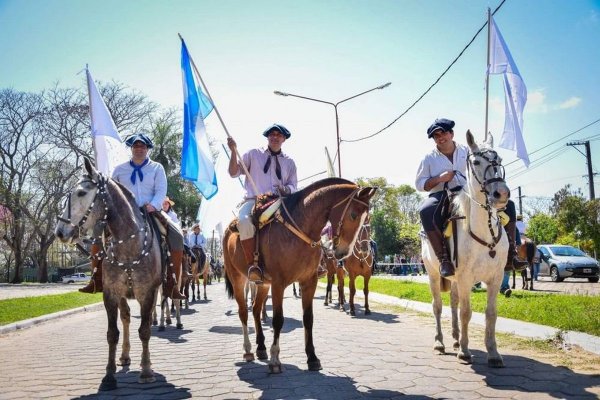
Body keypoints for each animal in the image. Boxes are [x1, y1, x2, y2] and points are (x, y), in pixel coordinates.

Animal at [54, 157, 161, 390]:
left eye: (81, 193)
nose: (60, 232)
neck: (129, 246)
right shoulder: (111, 294)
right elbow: (113, 333)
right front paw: (109, 375)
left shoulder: (147, 293)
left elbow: (145, 330)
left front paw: (146, 370)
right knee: (126, 318)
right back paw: (125, 356)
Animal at [224, 178, 376, 372]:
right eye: (354, 215)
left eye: (368, 219)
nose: (343, 253)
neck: (300, 229)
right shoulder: (278, 284)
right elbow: (278, 320)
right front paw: (275, 359)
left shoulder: (308, 282)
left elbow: (308, 318)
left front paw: (312, 357)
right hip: (238, 279)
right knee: (243, 312)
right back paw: (248, 349)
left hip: (263, 284)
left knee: (257, 310)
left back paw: (261, 347)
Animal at [422, 131, 510, 368]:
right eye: (476, 162)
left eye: (499, 160)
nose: (501, 193)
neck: (484, 232)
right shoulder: (465, 278)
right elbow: (466, 312)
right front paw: (464, 351)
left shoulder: (496, 278)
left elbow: (491, 314)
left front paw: (493, 353)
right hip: (434, 274)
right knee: (438, 306)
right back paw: (440, 342)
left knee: (452, 303)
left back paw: (454, 338)